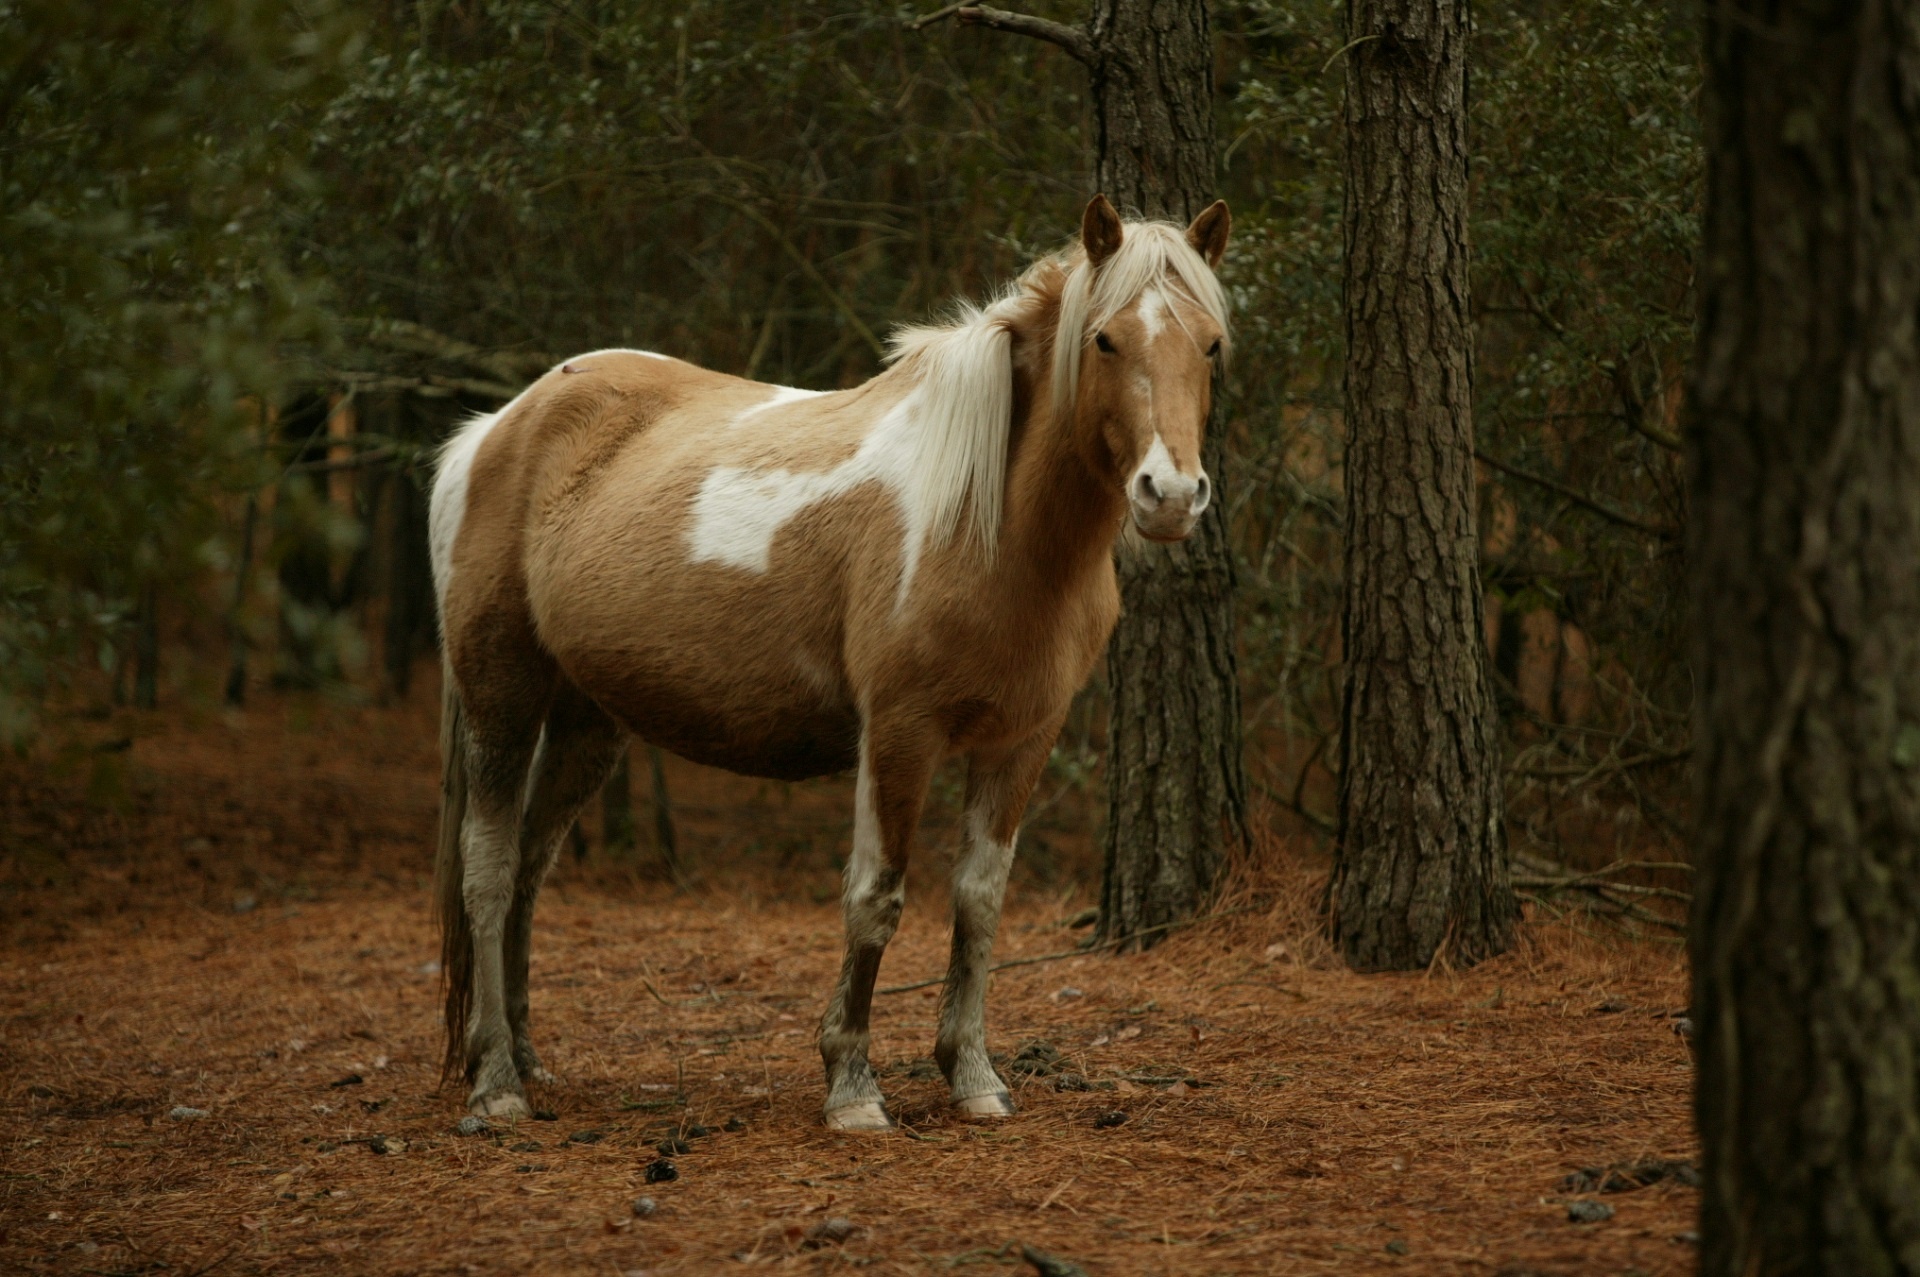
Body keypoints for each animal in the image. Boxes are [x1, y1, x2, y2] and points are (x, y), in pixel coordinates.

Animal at [430, 193, 1228, 1129]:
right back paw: (495, 1081)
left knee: (528, 868)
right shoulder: (899, 734)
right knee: (487, 871)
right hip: (501, 698)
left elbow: (979, 902)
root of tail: (494, 431)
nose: (1169, 497)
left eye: (1211, 343)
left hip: (589, 720)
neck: (986, 520)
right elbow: (874, 899)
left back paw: (524, 1056)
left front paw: (974, 1075)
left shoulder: (1021, 741)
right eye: (1104, 339)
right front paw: (851, 1086)